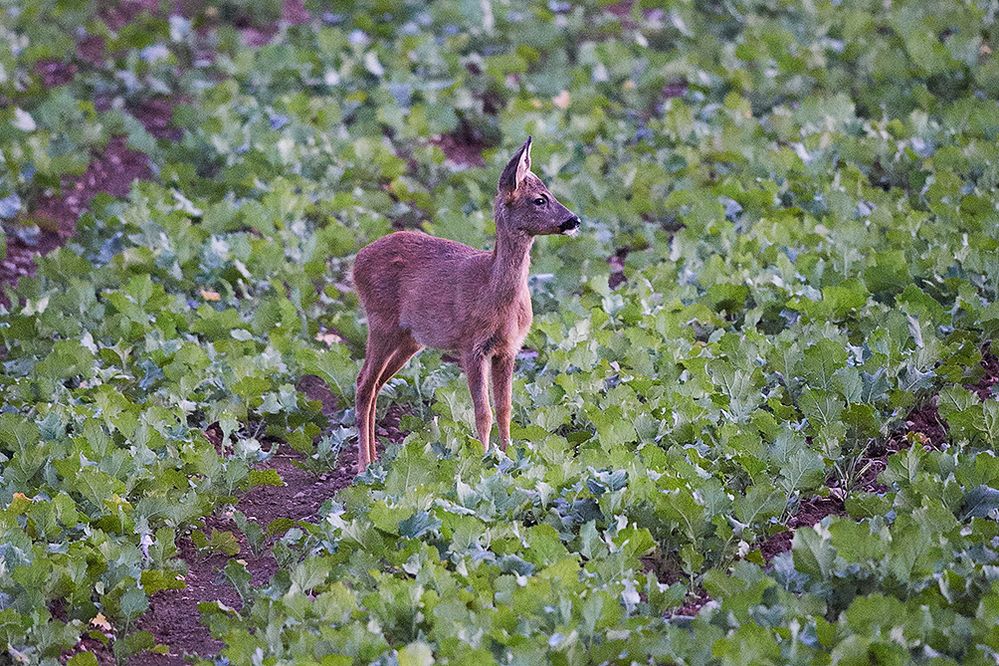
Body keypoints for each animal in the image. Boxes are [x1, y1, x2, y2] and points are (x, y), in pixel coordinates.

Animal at [356, 136, 584, 466]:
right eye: (540, 199)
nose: (573, 220)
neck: (494, 292)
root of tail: (355, 262)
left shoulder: (508, 349)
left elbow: (504, 408)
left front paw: (509, 456)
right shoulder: (471, 346)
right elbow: (483, 412)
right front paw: (482, 458)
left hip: (410, 339)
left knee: (376, 386)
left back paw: (376, 460)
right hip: (381, 322)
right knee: (363, 384)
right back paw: (364, 465)